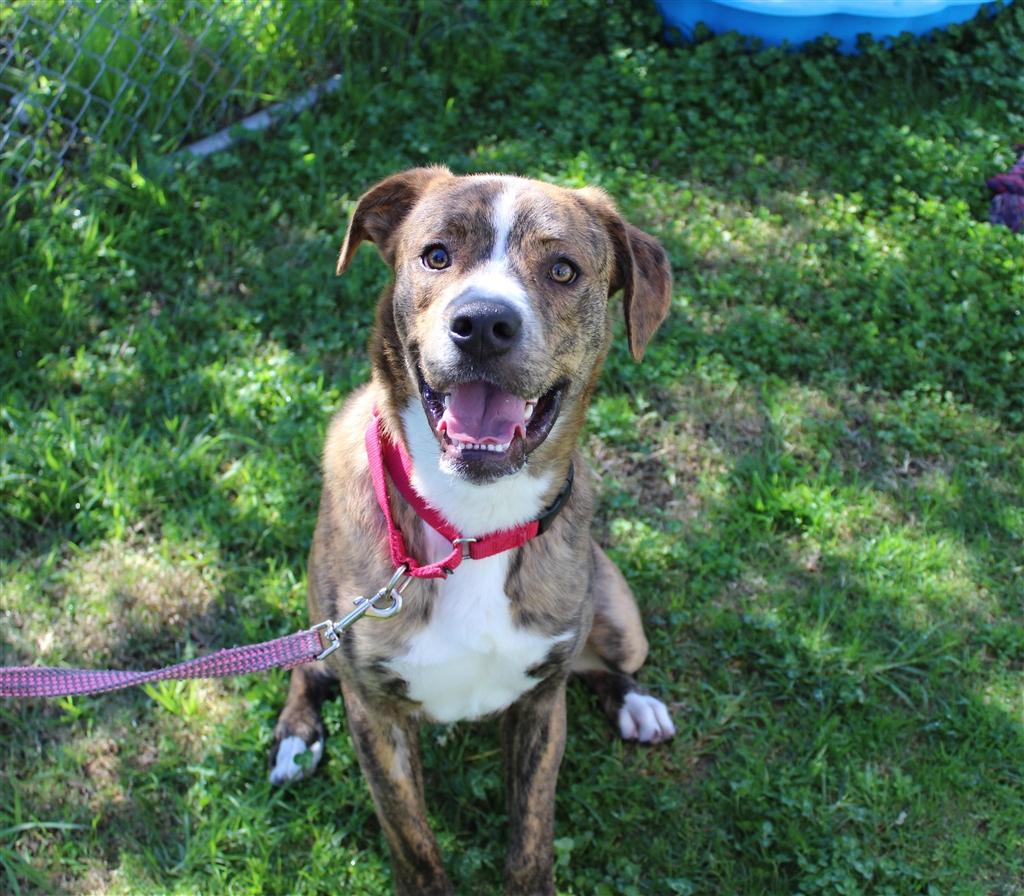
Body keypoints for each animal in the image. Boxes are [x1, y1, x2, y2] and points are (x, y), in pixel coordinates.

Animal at [268, 169, 675, 896]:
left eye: (564, 269)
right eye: (435, 255)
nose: (483, 325)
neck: (470, 525)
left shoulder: (542, 705)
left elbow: (531, 842)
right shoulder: (375, 715)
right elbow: (415, 846)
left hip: (623, 620)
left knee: (607, 663)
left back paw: (637, 703)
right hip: (323, 624)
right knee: (306, 668)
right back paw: (295, 736)